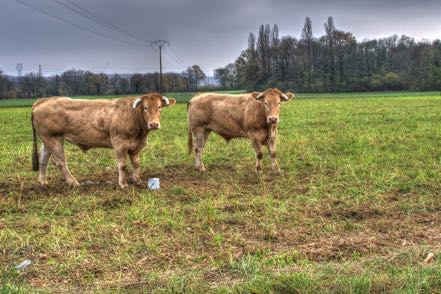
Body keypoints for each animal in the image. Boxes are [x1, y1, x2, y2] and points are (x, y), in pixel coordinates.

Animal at [31, 92, 175, 188]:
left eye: (159, 107)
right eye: (145, 108)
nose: (154, 124)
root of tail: (44, 100)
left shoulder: (135, 146)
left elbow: (136, 163)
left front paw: (137, 180)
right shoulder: (119, 143)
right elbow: (122, 165)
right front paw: (123, 184)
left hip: (47, 140)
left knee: (43, 159)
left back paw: (43, 182)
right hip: (53, 139)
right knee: (60, 162)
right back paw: (74, 183)